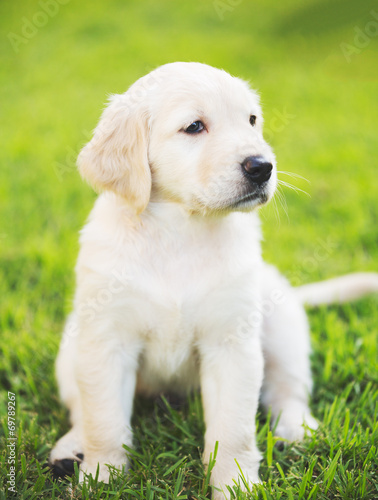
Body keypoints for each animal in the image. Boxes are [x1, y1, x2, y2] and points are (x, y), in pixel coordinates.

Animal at [50, 63, 378, 500]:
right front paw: (102, 478)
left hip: (282, 324)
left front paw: (236, 483)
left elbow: (233, 429)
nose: (262, 166)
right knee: (79, 410)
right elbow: (104, 421)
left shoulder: (231, 341)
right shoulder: (106, 339)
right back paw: (70, 449)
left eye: (252, 120)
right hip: (72, 344)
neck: (180, 227)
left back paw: (298, 429)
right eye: (194, 126)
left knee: (288, 390)